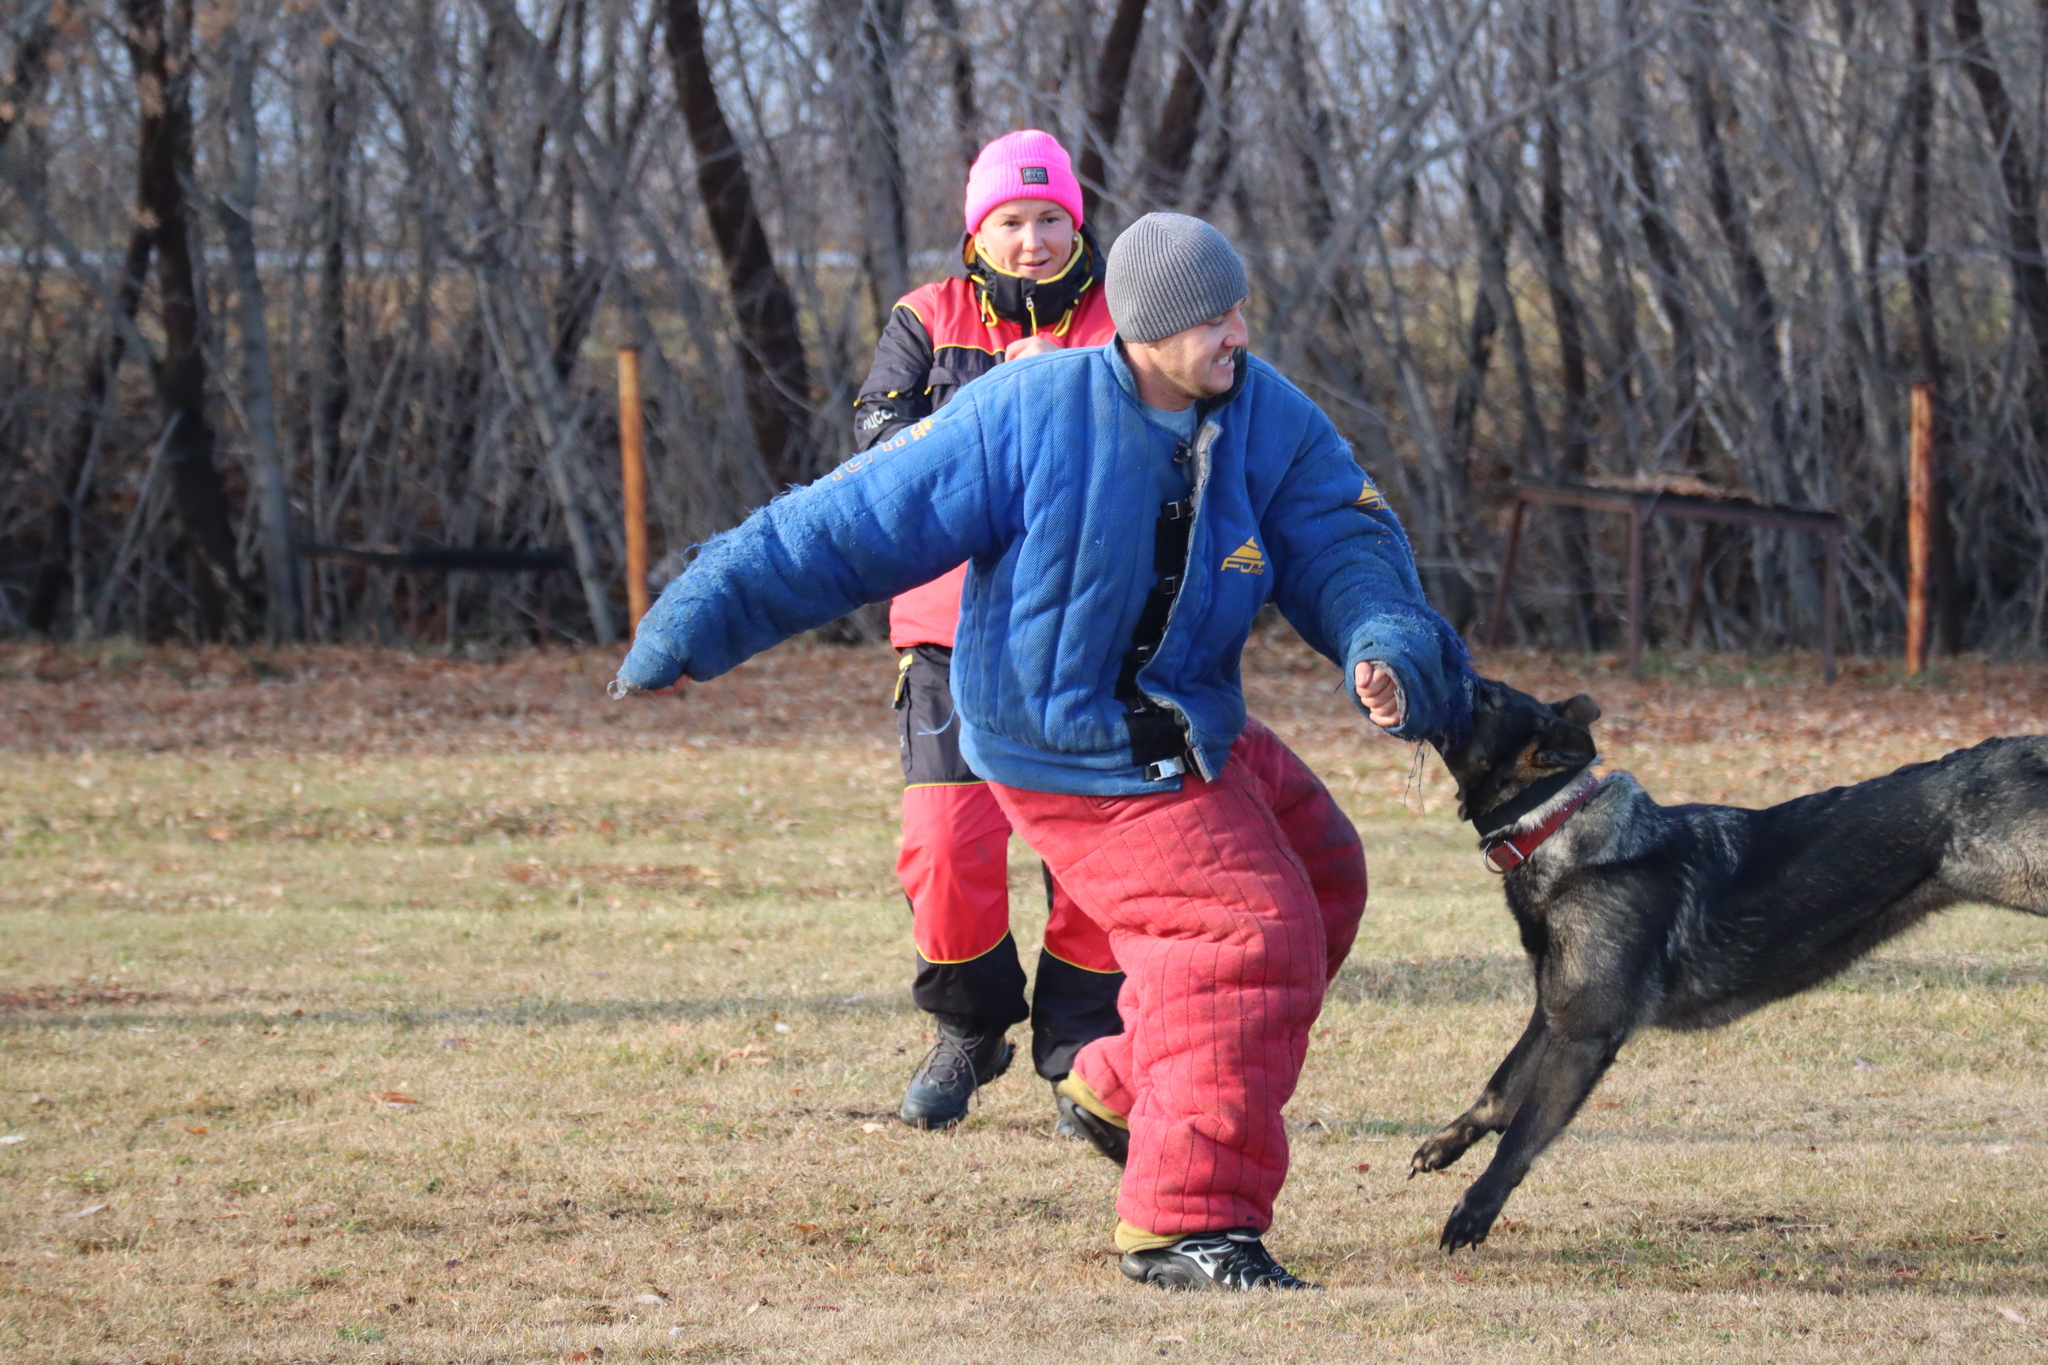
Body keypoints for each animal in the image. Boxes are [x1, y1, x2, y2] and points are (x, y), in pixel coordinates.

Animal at [1409, 679, 2048, 1252]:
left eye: (1485, 696)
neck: (1552, 821)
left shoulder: (1585, 1034)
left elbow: (1522, 1132)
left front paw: (1476, 1208)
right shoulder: (1554, 1013)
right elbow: (1501, 1089)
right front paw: (1447, 1144)